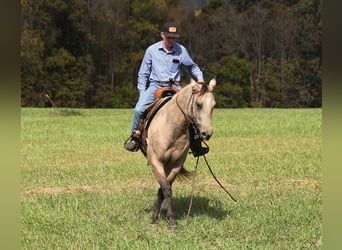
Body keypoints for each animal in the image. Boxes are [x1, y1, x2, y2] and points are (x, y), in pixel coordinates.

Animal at [138, 78, 215, 229]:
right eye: (198, 104)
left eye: (213, 106)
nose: (207, 133)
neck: (172, 127)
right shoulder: (156, 162)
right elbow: (165, 189)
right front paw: (162, 220)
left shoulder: (176, 164)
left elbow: (164, 189)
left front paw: (167, 218)